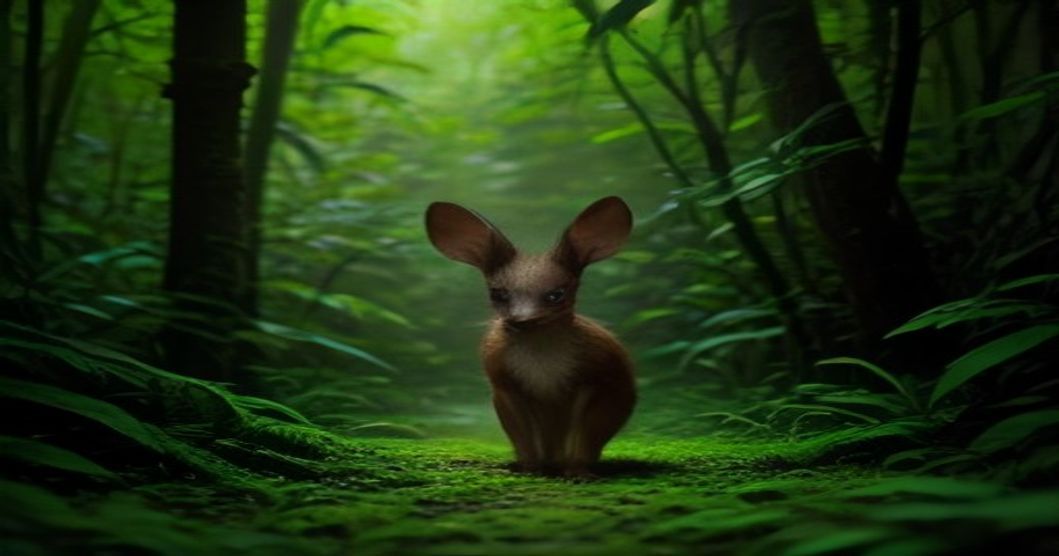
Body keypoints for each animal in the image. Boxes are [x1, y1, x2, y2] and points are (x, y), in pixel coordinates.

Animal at [425, 196, 636, 477]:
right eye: (498, 294)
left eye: (557, 294)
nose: (521, 320)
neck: (541, 361)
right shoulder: (503, 383)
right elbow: (523, 436)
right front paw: (529, 468)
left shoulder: (604, 378)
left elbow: (585, 435)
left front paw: (578, 473)